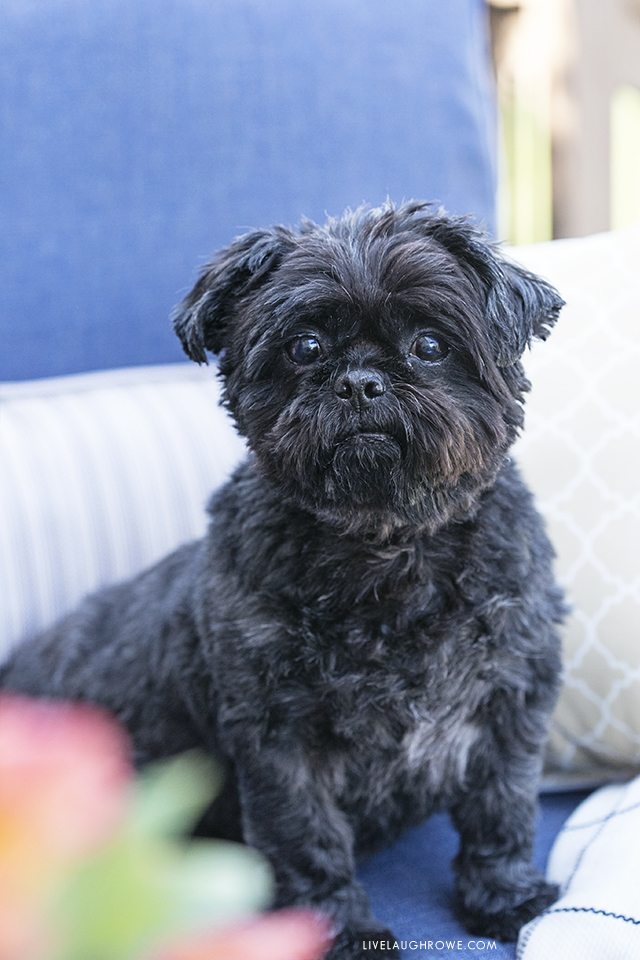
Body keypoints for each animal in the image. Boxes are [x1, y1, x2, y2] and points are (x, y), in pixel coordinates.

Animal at [3, 201, 564, 952]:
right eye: (305, 348)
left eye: (429, 344)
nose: (359, 382)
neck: (385, 550)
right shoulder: (278, 738)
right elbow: (306, 839)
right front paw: (338, 932)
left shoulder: (511, 701)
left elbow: (501, 809)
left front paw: (507, 896)